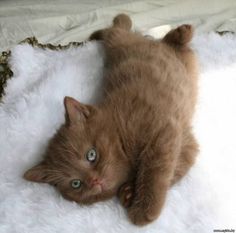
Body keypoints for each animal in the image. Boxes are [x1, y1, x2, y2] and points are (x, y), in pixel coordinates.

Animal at [24, 14, 198, 226]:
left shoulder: (163, 133)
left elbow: (156, 171)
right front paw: (129, 192)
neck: (119, 128)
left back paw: (179, 32)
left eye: (91, 155)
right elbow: (177, 167)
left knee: (119, 27)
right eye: (76, 184)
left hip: (118, 43)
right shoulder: (184, 141)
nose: (94, 181)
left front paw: (144, 208)